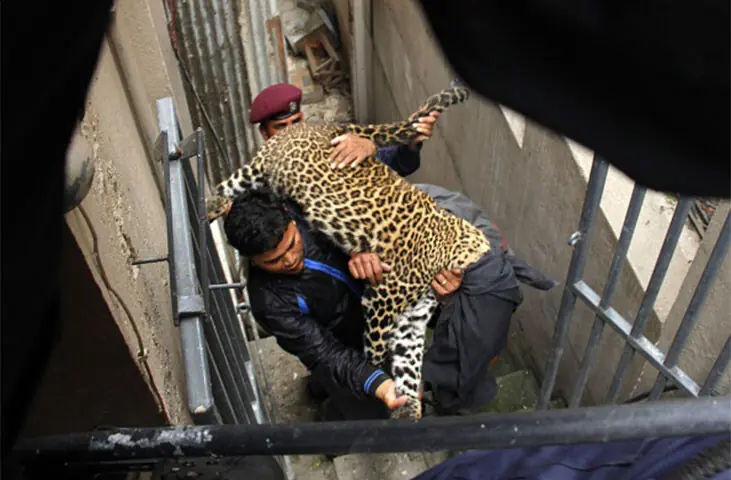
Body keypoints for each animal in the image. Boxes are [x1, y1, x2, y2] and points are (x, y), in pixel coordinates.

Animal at [205, 81, 492, 419]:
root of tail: (314, 126)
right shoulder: (381, 302)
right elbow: (376, 351)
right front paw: (377, 384)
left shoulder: (411, 321)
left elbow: (409, 367)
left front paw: (408, 408)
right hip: (258, 167)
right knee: (228, 183)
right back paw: (212, 206)